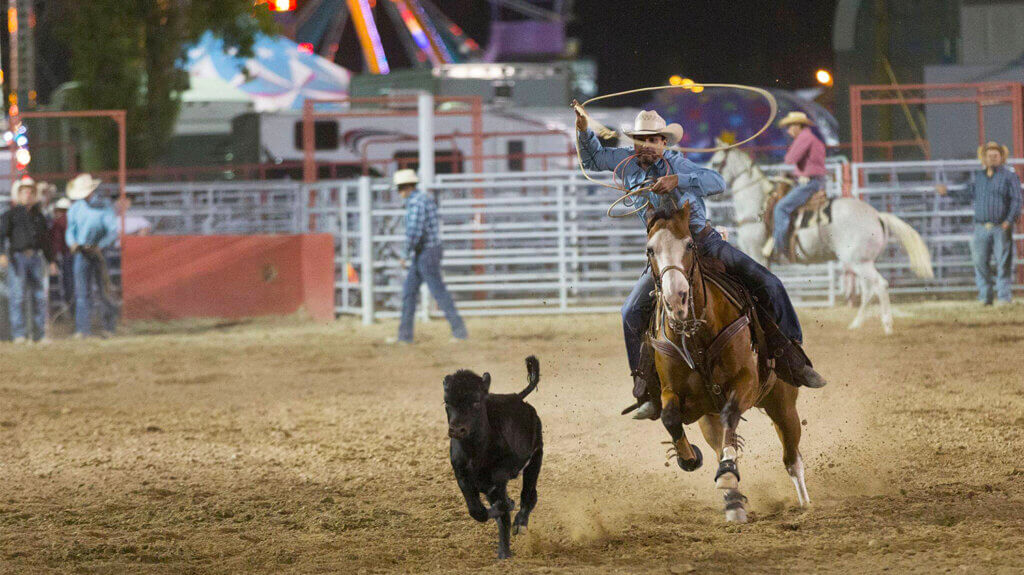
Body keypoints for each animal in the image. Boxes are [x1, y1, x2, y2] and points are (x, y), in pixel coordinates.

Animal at [442, 354, 544, 556]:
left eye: (476, 401)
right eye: (447, 402)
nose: (457, 429)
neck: (475, 452)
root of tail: (517, 397)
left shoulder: (502, 472)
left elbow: (504, 503)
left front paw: (509, 503)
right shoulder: (462, 475)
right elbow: (477, 511)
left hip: (536, 457)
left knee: (529, 495)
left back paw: (520, 525)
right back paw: (504, 554)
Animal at [647, 201, 806, 519]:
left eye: (689, 244)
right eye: (650, 250)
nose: (676, 298)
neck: (695, 335)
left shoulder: (744, 381)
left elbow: (732, 413)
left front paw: (730, 472)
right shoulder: (672, 391)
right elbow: (670, 417)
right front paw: (689, 457)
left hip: (782, 402)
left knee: (792, 455)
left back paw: (805, 502)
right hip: (709, 417)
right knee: (721, 441)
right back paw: (733, 504)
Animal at [708, 144, 933, 331]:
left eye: (716, 162)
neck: (757, 205)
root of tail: (877, 216)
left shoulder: (756, 253)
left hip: (858, 261)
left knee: (880, 285)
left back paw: (886, 326)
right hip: (863, 262)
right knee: (869, 290)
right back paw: (856, 324)